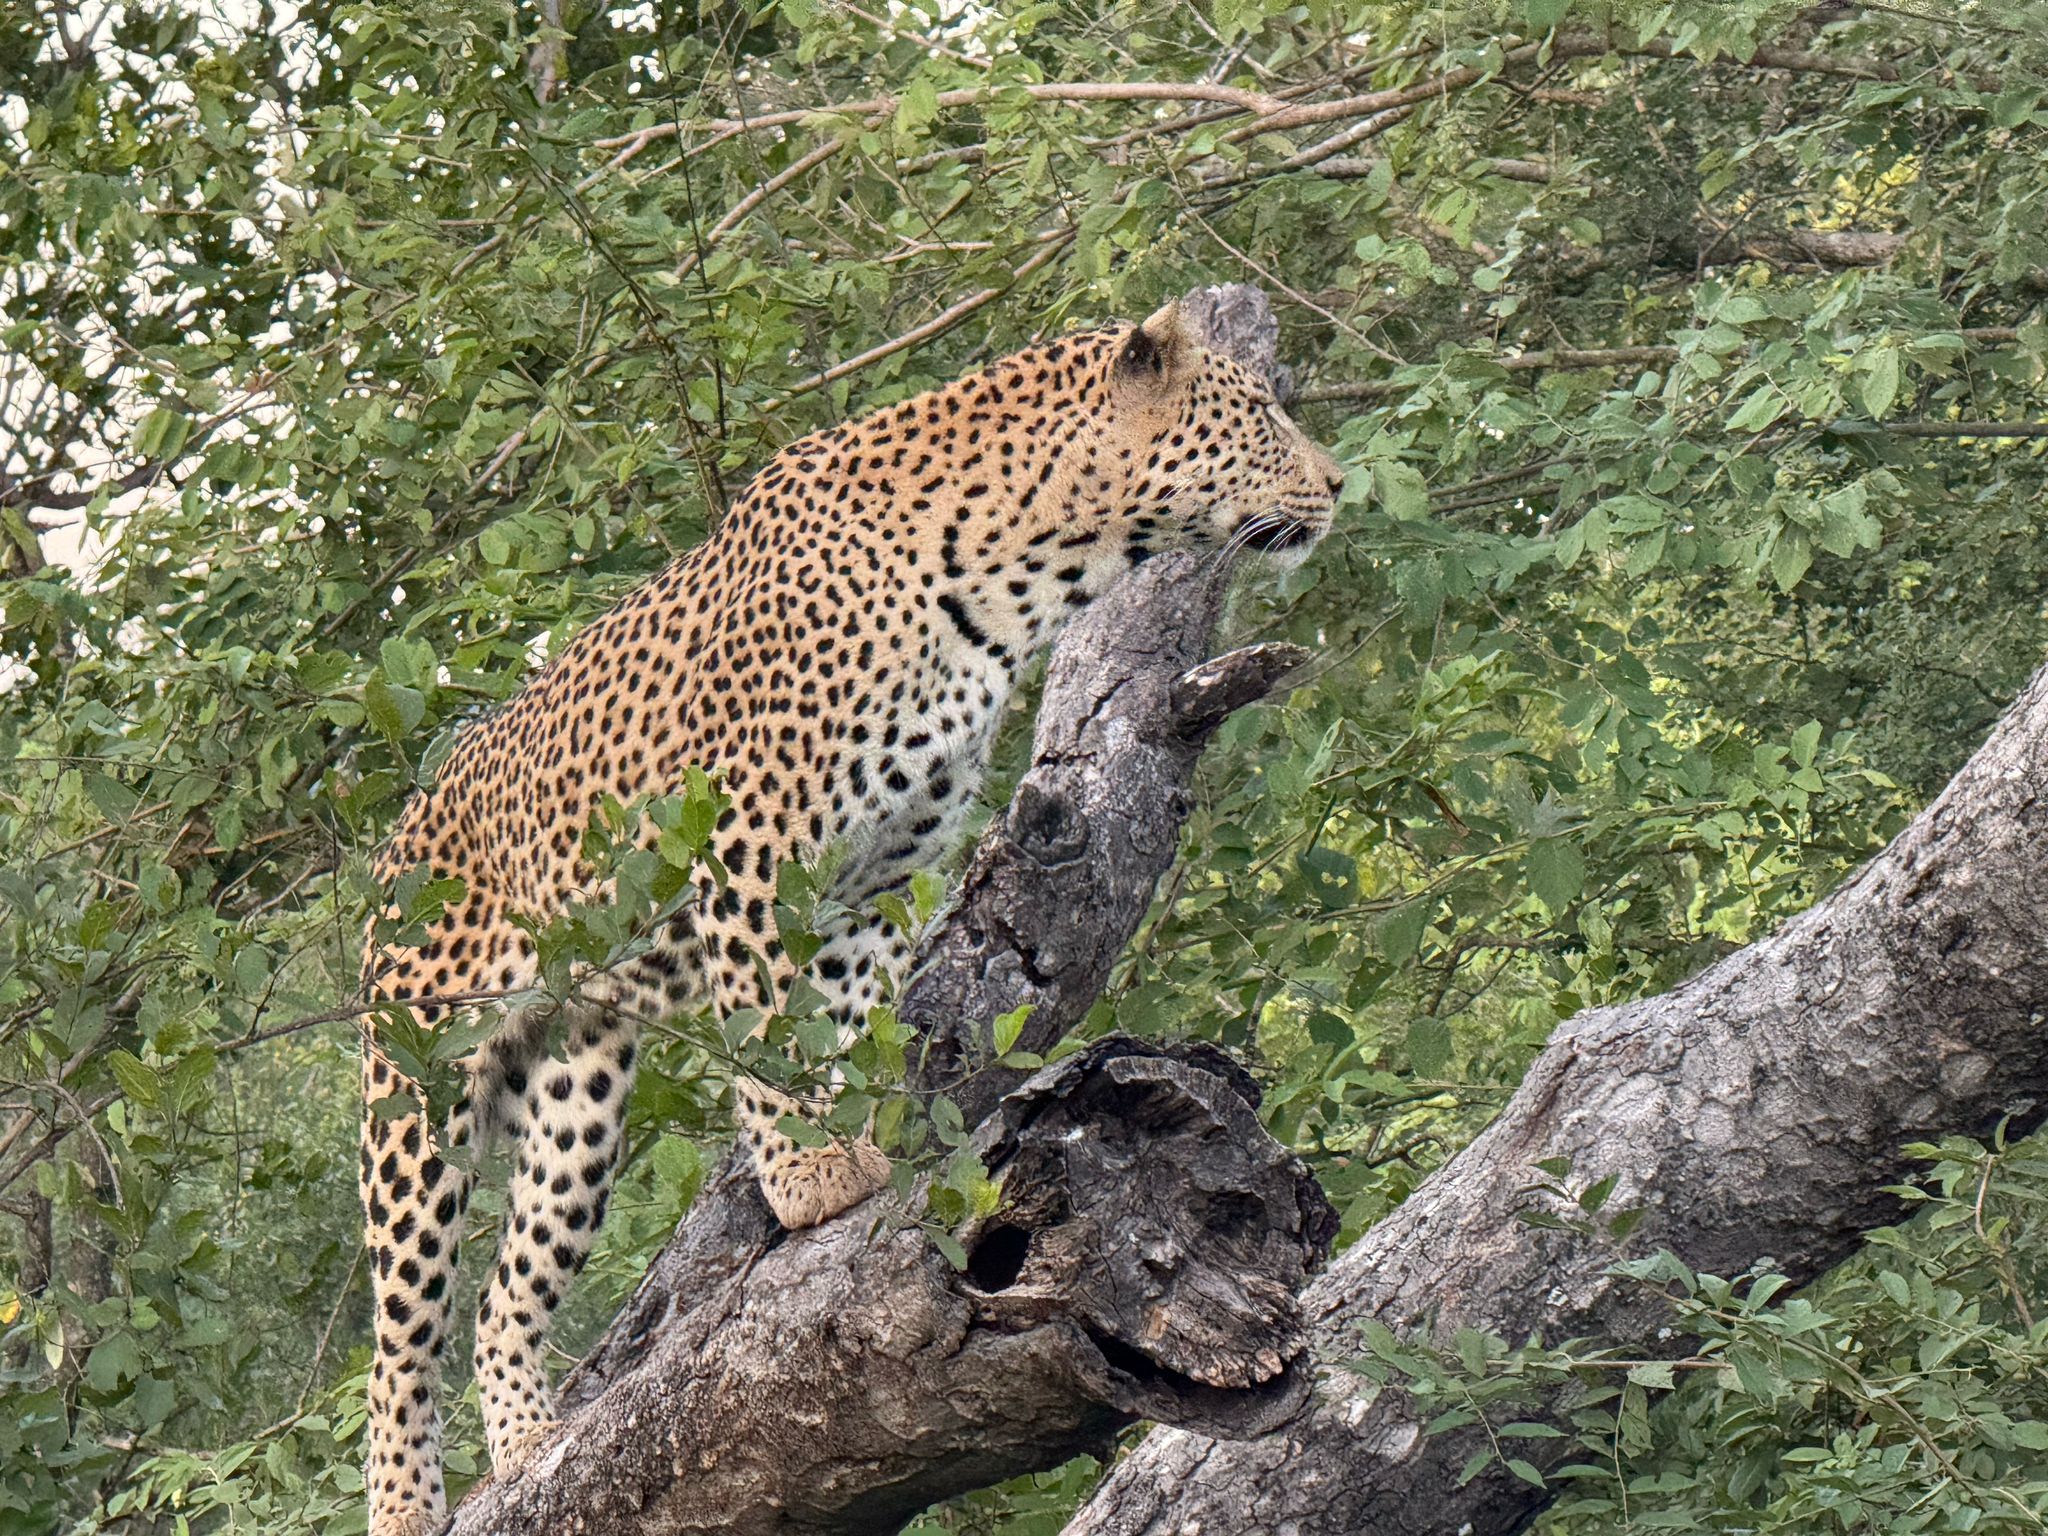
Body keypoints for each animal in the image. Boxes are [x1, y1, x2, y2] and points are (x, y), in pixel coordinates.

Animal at [356, 298, 1344, 1535]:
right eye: (1258, 413)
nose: (1338, 483)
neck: (1031, 571)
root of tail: (399, 836)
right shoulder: (751, 842)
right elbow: (766, 1021)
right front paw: (807, 1173)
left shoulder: (870, 883)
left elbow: (848, 1027)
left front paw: (871, 1141)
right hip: (418, 1084)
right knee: (399, 1328)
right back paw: (404, 1500)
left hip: (581, 1085)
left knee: (502, 1291)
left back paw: (532, 1441)